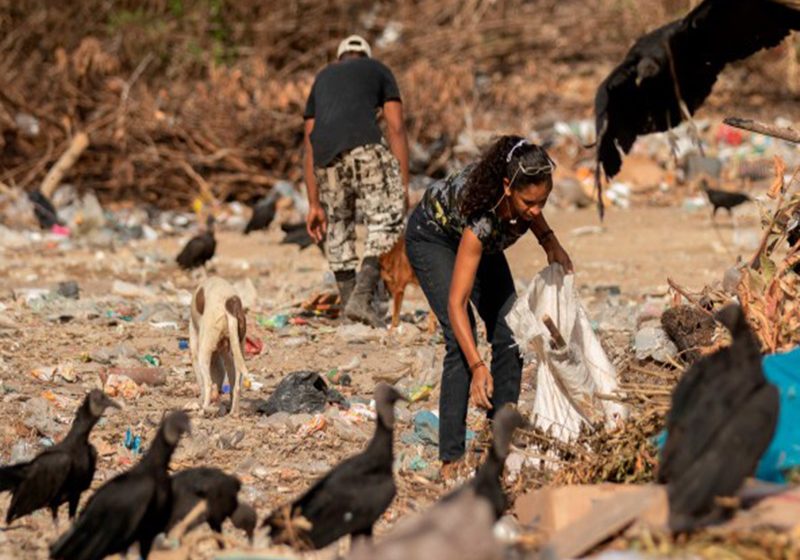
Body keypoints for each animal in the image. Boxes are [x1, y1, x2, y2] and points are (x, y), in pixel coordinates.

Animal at [190, 276, 248, 416]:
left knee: (208, 383)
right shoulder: (224, 353)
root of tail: (230, 305)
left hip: (203, 352)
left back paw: (203, 410)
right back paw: (234, 412)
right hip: (239, 349)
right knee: (237, 385)